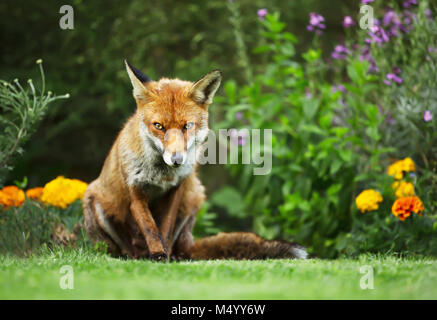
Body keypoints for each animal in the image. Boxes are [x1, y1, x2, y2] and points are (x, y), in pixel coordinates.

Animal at [82, 60, 306, 260]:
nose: (177, 160)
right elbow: (150, 228)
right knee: (125, 248)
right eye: (159, 126)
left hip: (194, 196)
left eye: (187, 126)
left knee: (181, 247)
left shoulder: (176, 190)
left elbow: (165, 227)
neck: (161, 175)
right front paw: (157, 254)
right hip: (94, 199)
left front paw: (164, 256)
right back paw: (135, 255)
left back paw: (176, 256)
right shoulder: (135, 193)